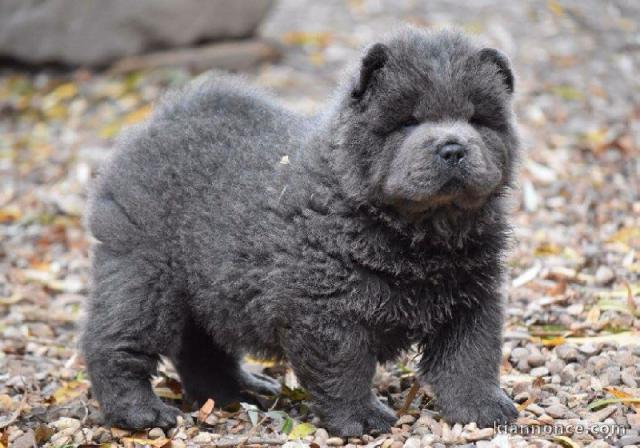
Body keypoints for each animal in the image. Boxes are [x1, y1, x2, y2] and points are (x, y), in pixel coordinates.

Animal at [81, 27, 520, 434]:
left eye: (477, 120)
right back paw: (142, 412)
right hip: (143, 270)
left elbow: (471, 358)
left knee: (202, 349)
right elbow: (345, 368)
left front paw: (483, 409)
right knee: (115, 340)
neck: (421, 234)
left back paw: (237, 393)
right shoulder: (327, 308)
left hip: (204, 288)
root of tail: (161, 119)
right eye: (408, 121)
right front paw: (361, 419)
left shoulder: (471, 298)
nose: (453, 147)